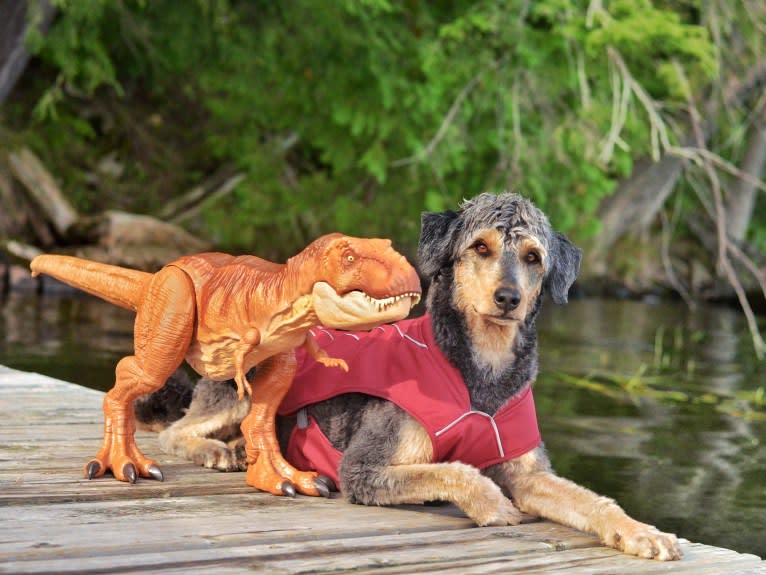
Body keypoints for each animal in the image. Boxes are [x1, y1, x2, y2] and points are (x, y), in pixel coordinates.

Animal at [142, 195, 684, 564]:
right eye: (480, 247)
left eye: (533, 257)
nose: (508, 298)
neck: (480, 373)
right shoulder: (363, 469)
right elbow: (454, 469)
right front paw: (493, 504)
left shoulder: (528, 473)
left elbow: (593, 500)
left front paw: (642, 532)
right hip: (246, 387)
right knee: (176, 431)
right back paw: (217, 451)